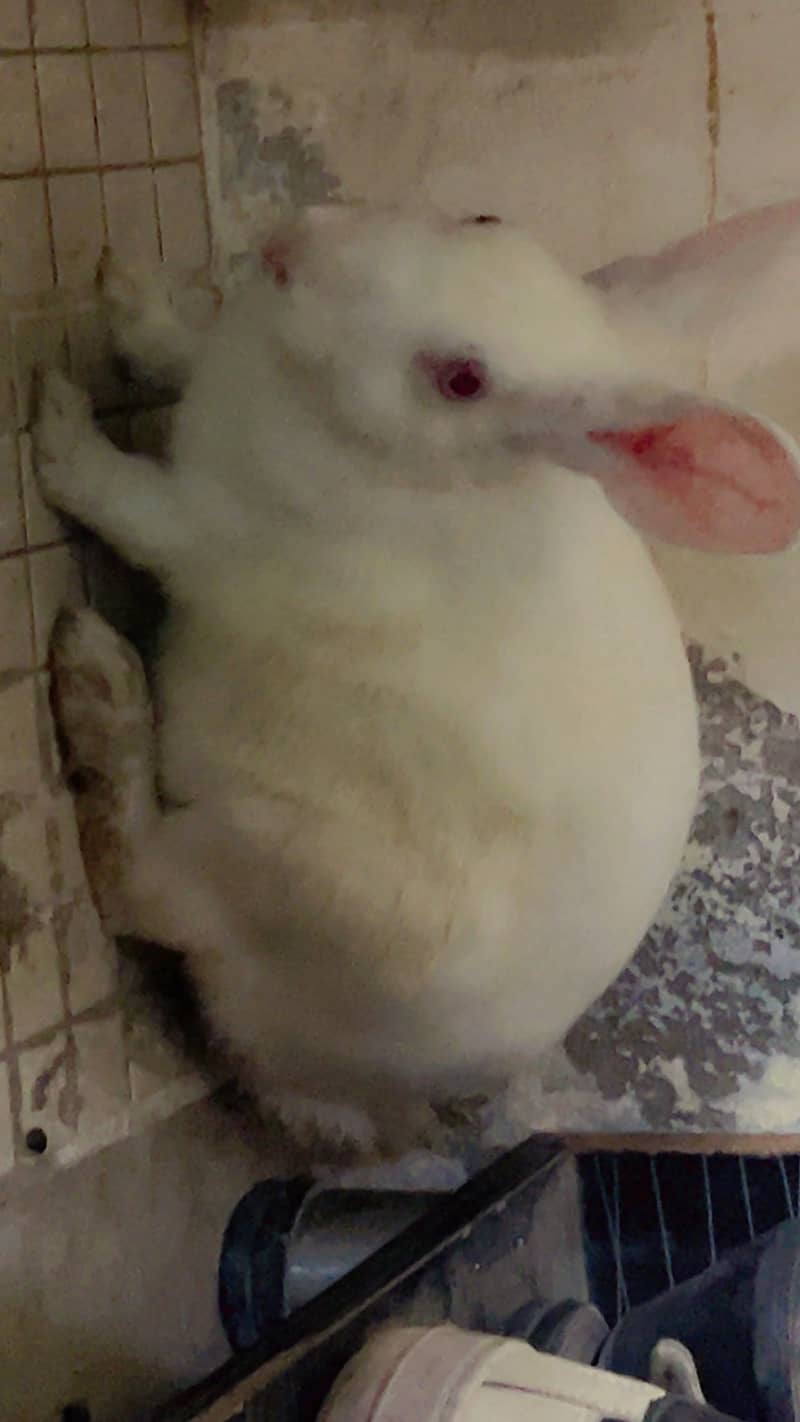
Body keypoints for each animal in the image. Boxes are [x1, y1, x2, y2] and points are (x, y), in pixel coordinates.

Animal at [33, 205, 800, 1159]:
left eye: (461, 381)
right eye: (482, 216)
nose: (295, 244)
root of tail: (346, 1092)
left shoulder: (203, 532)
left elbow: (119, 498)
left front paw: (55, 416)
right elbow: (173, 347)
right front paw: (126, 288)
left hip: (288, 868)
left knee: (137, 884)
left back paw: (97, 679)